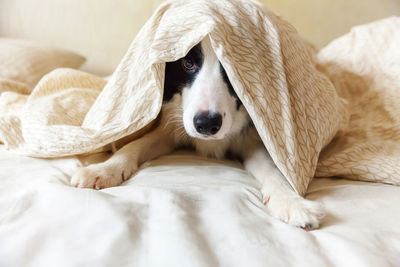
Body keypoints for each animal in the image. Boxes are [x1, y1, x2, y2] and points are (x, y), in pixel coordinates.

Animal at [69, 36, 324, 231]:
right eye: (188, 63)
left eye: (231, 69)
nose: (207, 124)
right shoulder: (172, 127)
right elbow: (134, 145)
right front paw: (103, 169)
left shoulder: (251, 137)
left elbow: (272, 169)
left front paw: (293, 203)